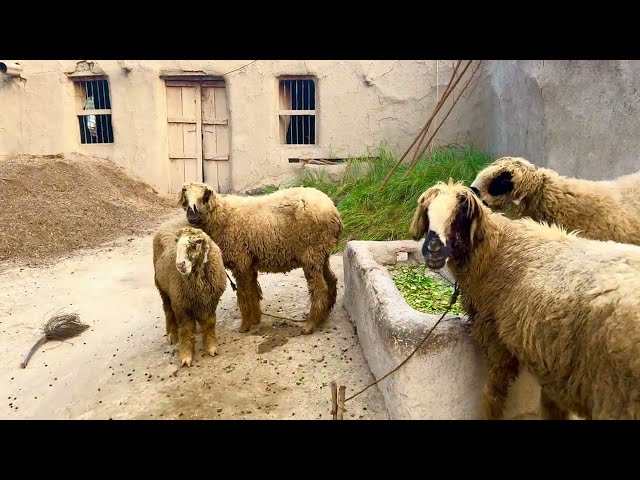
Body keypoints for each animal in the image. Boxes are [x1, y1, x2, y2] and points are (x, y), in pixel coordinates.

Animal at [152, 218, 228, 368]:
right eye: (176, 241)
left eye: (197, 242)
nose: (180, 264)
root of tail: (170, 221)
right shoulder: (181, 305)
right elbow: (186, 330)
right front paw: (186, 356)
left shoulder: (211, 301)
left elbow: (209, 323)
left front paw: (211, 347)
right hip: (162, 287)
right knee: (167, 309)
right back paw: (172, 335)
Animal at [178, 182, 342, 336]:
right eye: (186, 198)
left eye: (204, 197)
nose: (192, 215)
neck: (222, 216)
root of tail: (334, 211)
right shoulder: (249, 263)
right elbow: (253, 291)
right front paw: (255, 319)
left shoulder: (240, 261)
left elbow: (243, 293)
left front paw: (245, 326)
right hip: (321, 253)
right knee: (332, 280)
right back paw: (323, 316)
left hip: (311, 253)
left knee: (319, 289)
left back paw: (310, 324)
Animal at [412, 180, 640, 420]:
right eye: (427, 214)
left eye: (459, 216)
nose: (433, 251)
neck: (497, 249)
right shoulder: (553, 364)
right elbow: (550, 405)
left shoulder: (496, 338)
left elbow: (493, 393)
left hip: (614, 396)